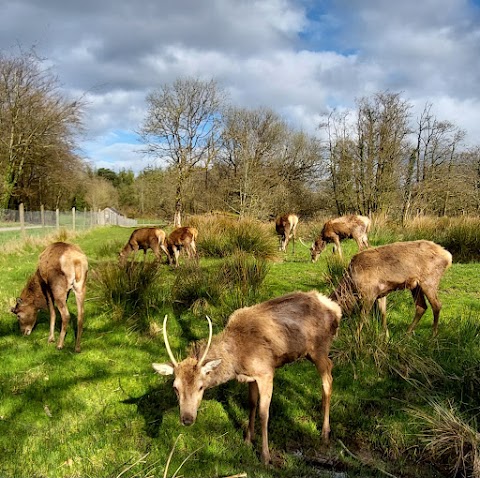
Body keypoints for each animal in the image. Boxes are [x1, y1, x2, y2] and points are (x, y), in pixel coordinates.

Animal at [153, 290, 342, 464]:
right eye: (175, 387)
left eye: (201, 386)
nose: (187, 419)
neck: (239, 359)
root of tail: (336, 310)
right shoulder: (251, 377)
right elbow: (251, 404)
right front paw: (247, 440)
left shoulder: (266, 372)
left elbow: (264, 413)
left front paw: (265, 457)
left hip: (319, 348)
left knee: (328, 378)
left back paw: (325, 433)